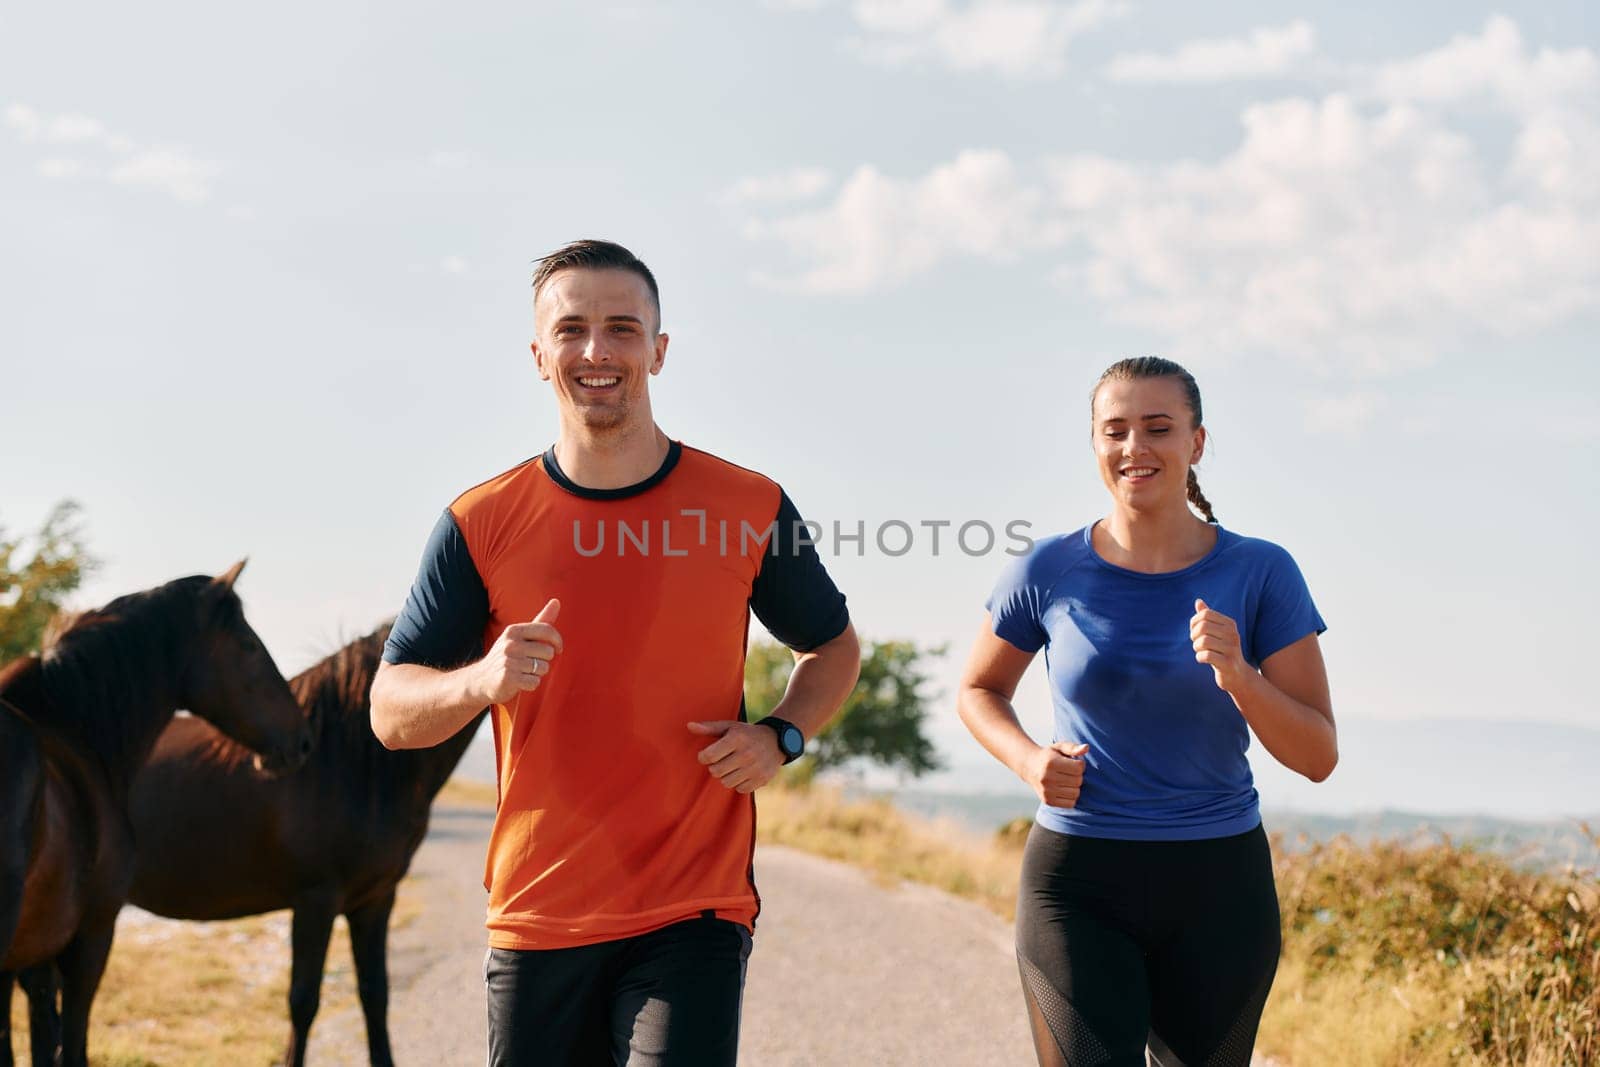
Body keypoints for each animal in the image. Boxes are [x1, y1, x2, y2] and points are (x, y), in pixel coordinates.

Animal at [1, 559, 312, 1067]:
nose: (301, 739)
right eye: (248, 645)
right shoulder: (91, 937)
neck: (76, 730)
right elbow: (73, 1045)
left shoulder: (33, 959)